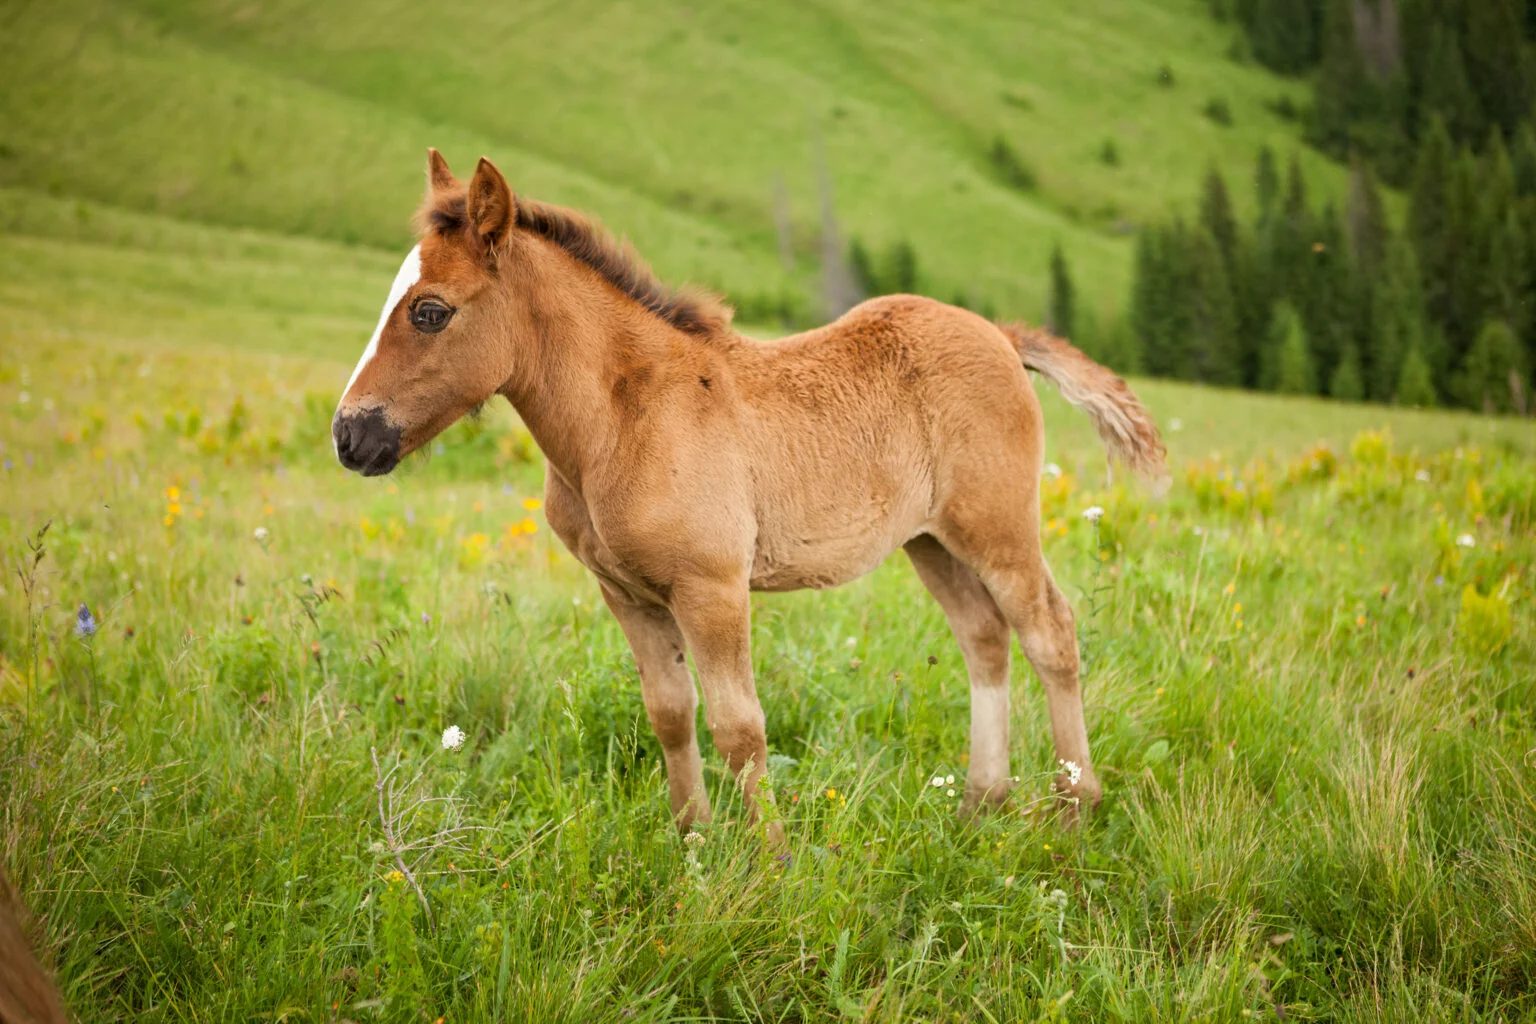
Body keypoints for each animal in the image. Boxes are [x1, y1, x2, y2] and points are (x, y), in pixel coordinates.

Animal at [333, 149, 1165, 838]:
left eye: (431, 310)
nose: (349, 436)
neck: (624, 419)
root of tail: (999, 335)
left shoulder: (712, 587)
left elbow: (740, 728)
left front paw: (770, 864)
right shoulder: (626, 593)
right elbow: (671, 715)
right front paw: (693, 842)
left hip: (996, 526)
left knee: (1050, 632)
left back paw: (1074, 807)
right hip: (930, 541)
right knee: (984, 638)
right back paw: (978, 804)